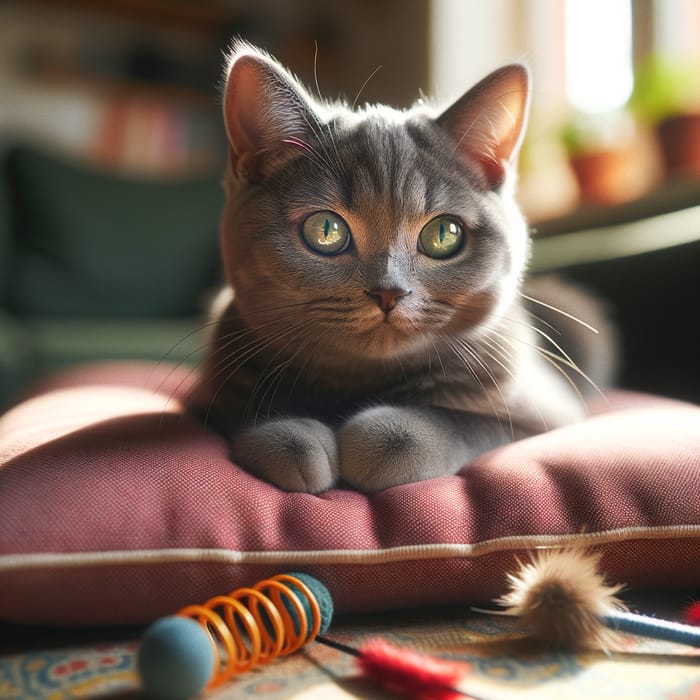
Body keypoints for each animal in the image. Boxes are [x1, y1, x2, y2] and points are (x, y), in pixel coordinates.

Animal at [185, 42, 612, 492]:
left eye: (443, 234)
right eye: (325, 230)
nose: (388, 291)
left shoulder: (544, 409)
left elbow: (453, 425)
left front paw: (379, 442)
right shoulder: (209, 391)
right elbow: (244, 413)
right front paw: (293, 441)